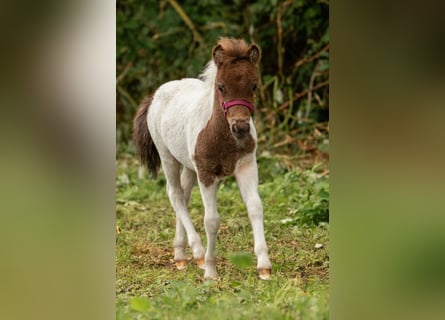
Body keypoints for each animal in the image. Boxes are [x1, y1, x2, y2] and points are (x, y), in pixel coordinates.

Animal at [132, 38, 270, 280]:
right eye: (221, 86)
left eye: (254, 85)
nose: (241, 128)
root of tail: (156, 94)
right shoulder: (206, 173)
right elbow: (212, 220)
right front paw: (211, 270)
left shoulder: (247, 166)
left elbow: (255, 207)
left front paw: (264, 266)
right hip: (167, 155)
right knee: (175, 194)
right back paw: (197, 253)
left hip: (188, 164)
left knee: (184, 195)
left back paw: (180, 254)